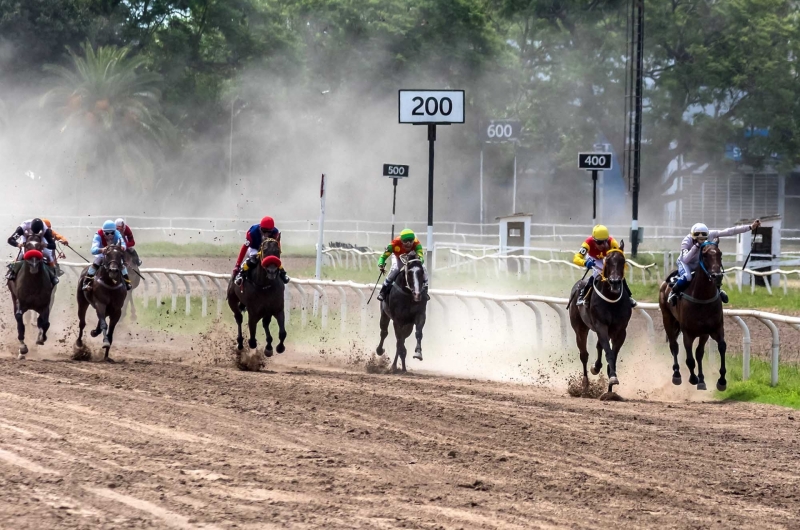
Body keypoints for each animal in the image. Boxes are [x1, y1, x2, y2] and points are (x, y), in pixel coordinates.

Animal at [564, 241, 636, 394]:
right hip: (580, 328)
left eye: (623, 261)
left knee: (598, 346)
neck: (612, 299)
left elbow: (612, 354)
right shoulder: (601, 325)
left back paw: (596, 368)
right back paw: (585, 384)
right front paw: (612, 379)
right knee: (584, 354)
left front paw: (610, 389)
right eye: (607, 261)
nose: (615, 282)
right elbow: (608, 352)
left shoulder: (620, 330)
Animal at [660, 241, 728, 390]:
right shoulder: (688, 333)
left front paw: (721, 380)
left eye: (720, 254)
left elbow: (720, 347)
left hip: (702, 333)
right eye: (705, 255)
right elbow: (689, 359)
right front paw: (692, 378)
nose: (717, 276)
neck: (702, 298)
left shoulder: (714, 329)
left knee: (699, 353)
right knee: (674, 346)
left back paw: (701, 379)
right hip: (667, 319)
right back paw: (677, 374)